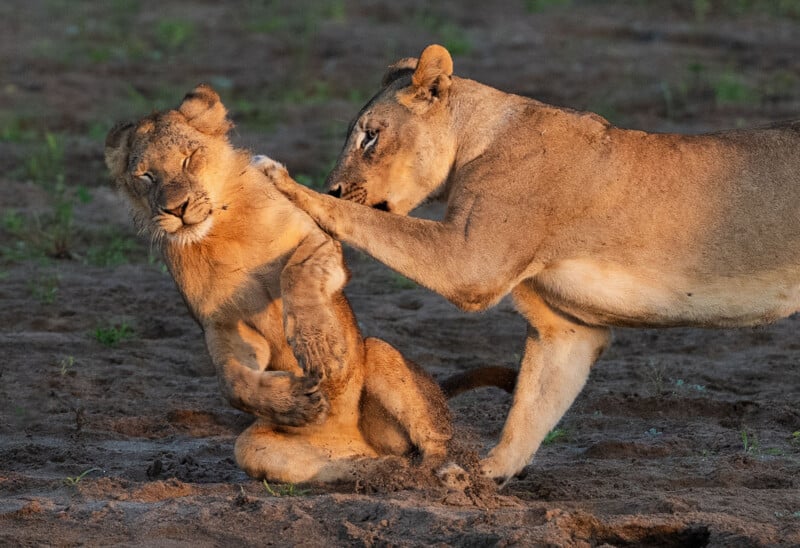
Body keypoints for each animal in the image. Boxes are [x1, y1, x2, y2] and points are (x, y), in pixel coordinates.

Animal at [104, 84, 475, 484]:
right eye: (146, 176)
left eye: (189, 158)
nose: (176, 209)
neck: (219, 233)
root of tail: (350, 438)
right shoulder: (221, 324)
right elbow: (231, 380)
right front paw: (297, 403)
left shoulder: (318, 240)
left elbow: (295, 274)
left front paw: (321, 349)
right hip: (257, 447)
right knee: (337, 461)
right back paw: (378, 472)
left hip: (378, 353)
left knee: (435, 443)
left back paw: (446, 475)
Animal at [273, 44, 800, 484]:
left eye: (370, 136)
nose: (335, 185)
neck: (478, 137)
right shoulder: (567, 328)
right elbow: (530, 408)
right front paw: (484, 476)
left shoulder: (471, 263)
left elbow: (369, 220)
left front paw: (287, 184)